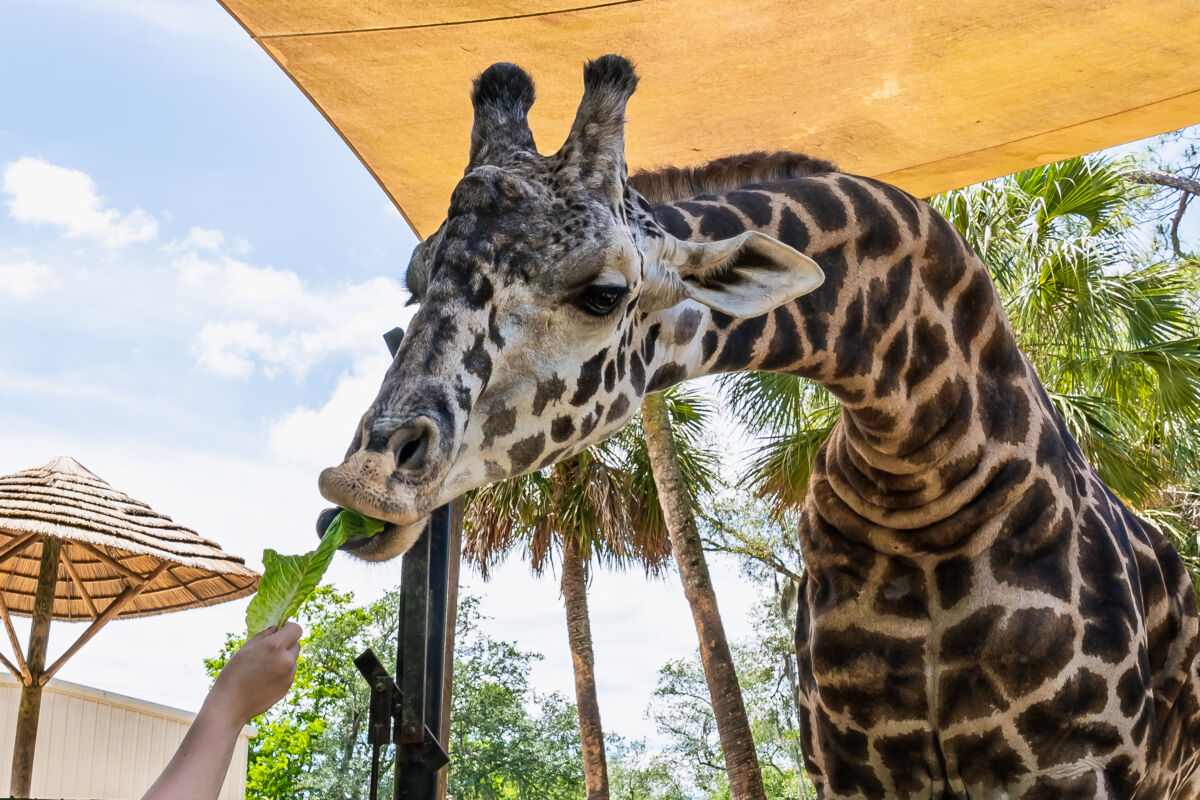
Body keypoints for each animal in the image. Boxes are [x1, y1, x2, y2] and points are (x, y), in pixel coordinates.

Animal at [318, 56, 1200, 796]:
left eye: (603, 294)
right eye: (416, 283)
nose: (361, 481)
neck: (928, 463)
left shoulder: (1069, 769)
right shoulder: (853, 771)